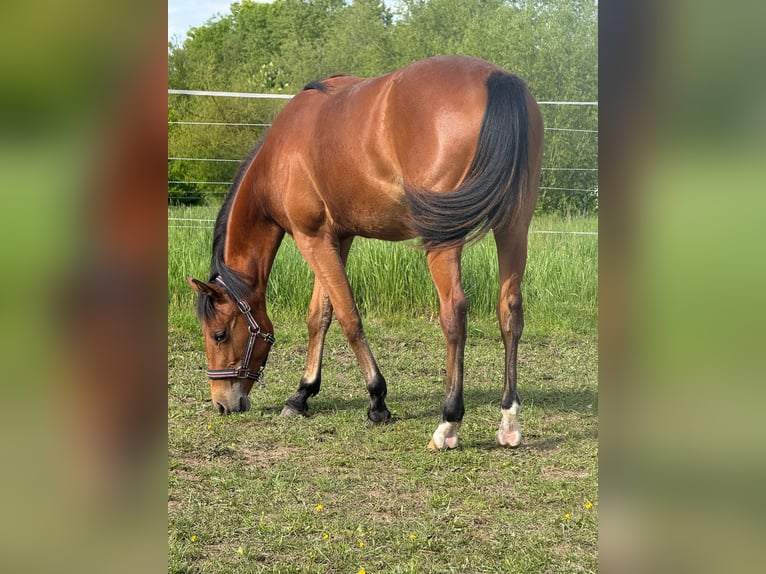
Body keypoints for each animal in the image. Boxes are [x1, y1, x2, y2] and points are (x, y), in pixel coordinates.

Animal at [187, 55, 544, 449]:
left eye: (219, 334)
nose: (222, 403)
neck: (280, 156)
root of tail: (496, 78)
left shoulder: (311, 238)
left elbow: (349, 317)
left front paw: (377, 400)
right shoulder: (335, 238)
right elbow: (319, 315)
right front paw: (301, 394)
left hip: (446, 237)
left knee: (454, 314)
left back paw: (448, 423)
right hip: (514, 225)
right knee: (510, 310)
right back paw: (509, 420)